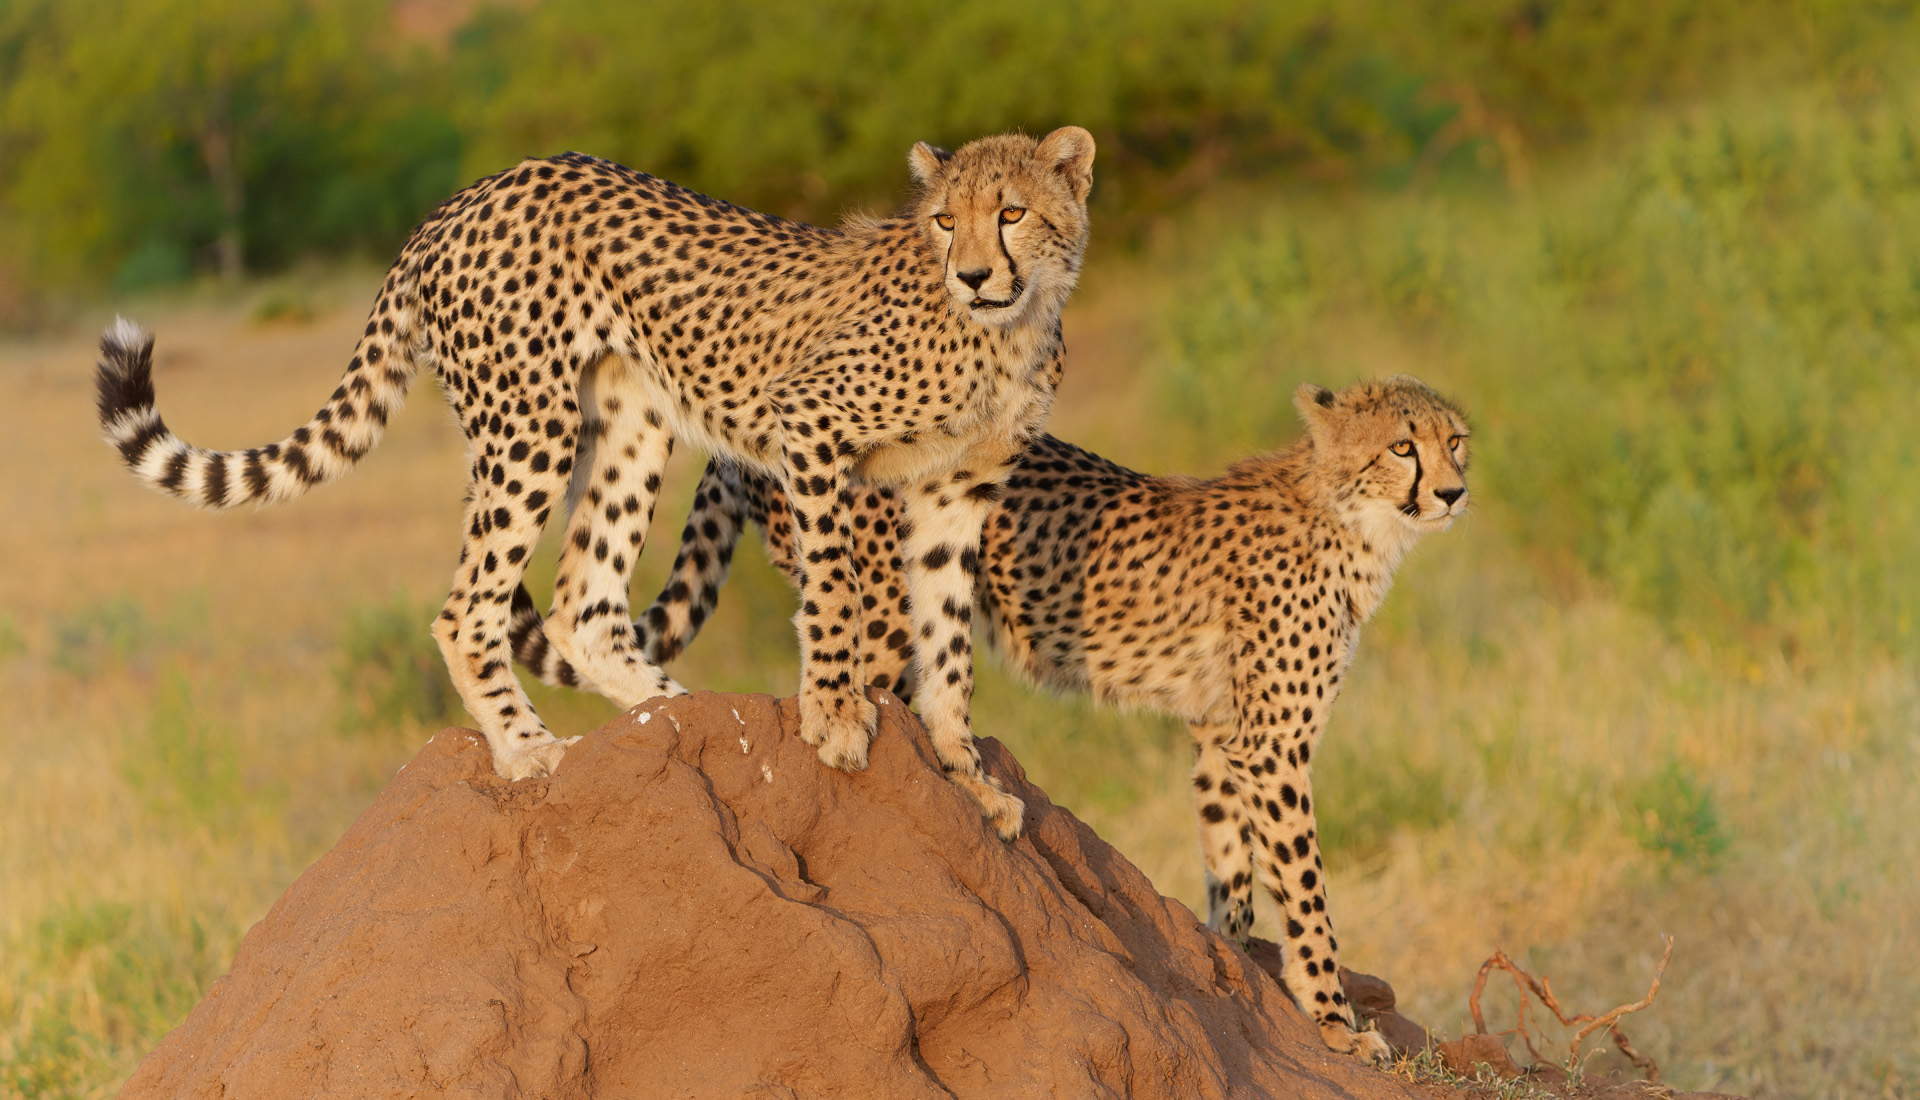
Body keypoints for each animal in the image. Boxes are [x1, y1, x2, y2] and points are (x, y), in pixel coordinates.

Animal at [94, 126, 1099, 841]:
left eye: (1011, 213)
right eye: (946, 220)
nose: (974, 272)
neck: (1007, 327)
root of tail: (462, 199)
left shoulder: (956, 492)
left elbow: (949, 643)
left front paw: (967, 774)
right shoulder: (810, 425)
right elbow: (837, 593)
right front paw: (837, 717)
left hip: (629, 424)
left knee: (583, 603)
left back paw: (677, 716)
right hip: (529, 424)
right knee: (469, 608)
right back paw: (532, 751)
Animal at [509, 374, 1469, 1062]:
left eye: (1454, 440)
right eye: (1402, 447)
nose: (1456, 492)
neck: (1351, 513)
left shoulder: (1219, 733)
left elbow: (1229, 865)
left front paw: (1229, 969)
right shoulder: (1272, 743)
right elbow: (1306, 890)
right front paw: (1337, 1021)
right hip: (888, 611)